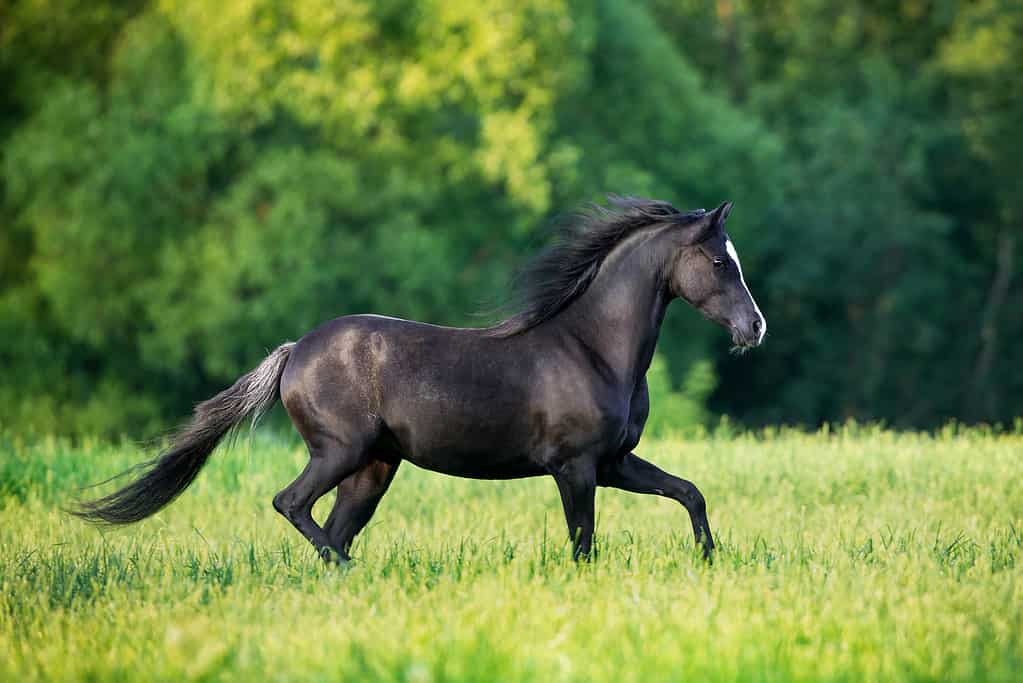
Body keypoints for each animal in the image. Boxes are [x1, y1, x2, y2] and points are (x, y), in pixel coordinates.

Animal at [75, 197, 765, 560]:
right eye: (716, 261)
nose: (754, 328)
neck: (592, 348)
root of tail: (295, 351)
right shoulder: (575, 467)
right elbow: (583, 542)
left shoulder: (615, 461)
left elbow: (689, 493)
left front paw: (708, 560)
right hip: (341, 452)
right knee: (292, 504)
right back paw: (347, 569)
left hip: (374, 468)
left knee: (331, 523)